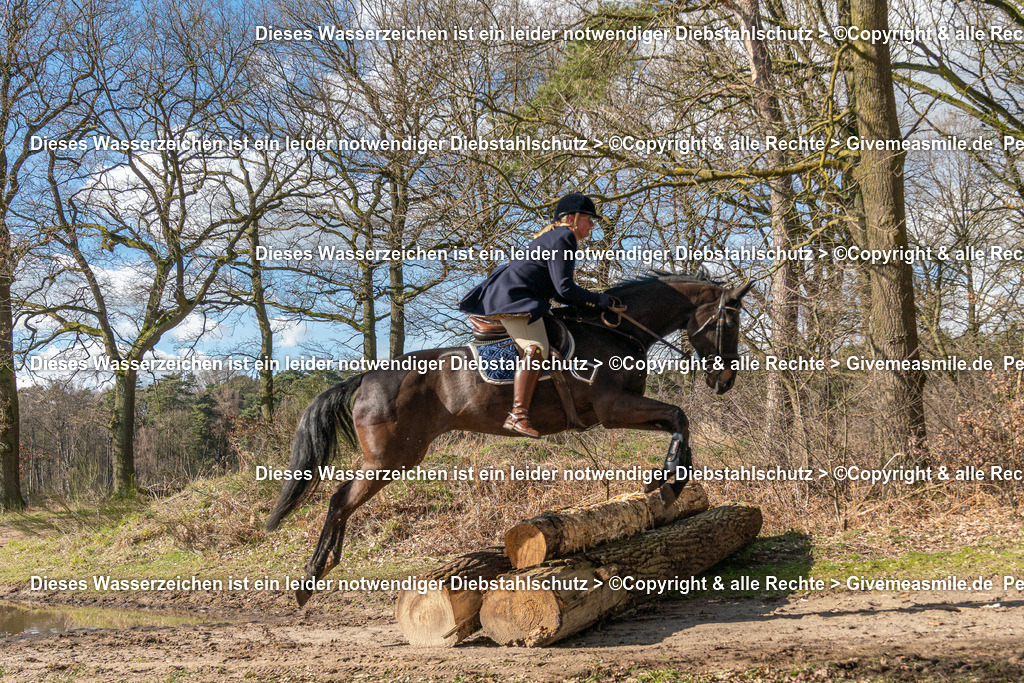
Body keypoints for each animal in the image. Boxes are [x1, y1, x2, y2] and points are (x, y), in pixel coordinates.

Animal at [268, 270, 757, 606]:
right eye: (729, 324)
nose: (726, 381)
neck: (617, 329)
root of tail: (366, 377)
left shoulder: (620, 411)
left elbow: (679, 423)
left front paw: (666, 479)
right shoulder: (612, 407)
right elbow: (679, 414)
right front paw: (671, 483)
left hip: (391, 459)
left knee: (341, 501)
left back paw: (322, 568)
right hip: (390, 459)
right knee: (339, 499)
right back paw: (310, 578)